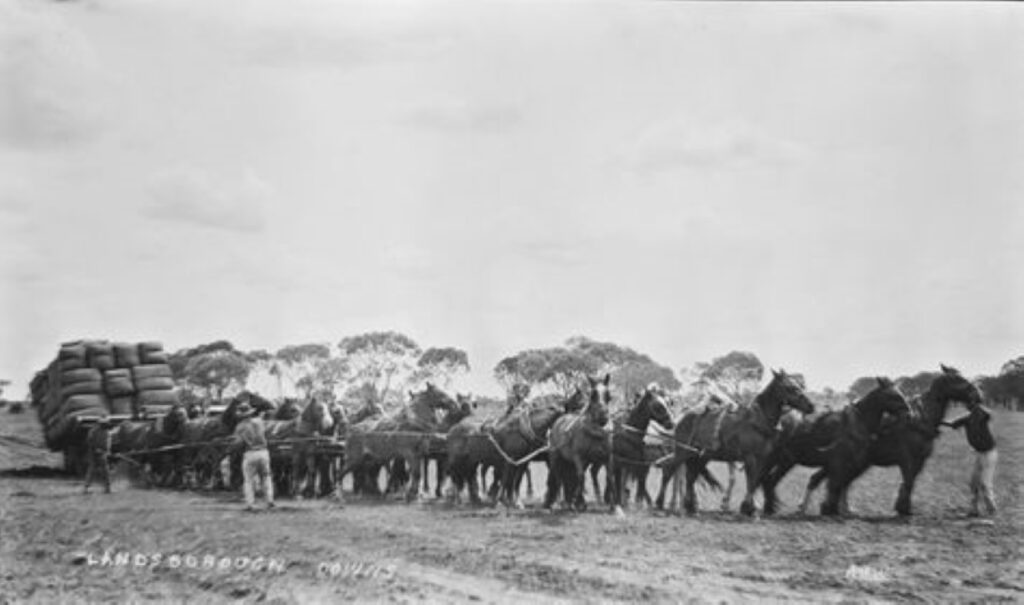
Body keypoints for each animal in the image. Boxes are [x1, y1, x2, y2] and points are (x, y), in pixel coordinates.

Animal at [761, 378, 913, 515]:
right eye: (894, 395)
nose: (910, 414)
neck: (856, 424)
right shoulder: (837, 463)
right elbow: (834, 484)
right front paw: (830, 509)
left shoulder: (839, 464)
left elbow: (828, 482)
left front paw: (837, 509)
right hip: (783, 461)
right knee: (770, 481)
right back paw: (769, 507)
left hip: (783, 461)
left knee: (769, 480)